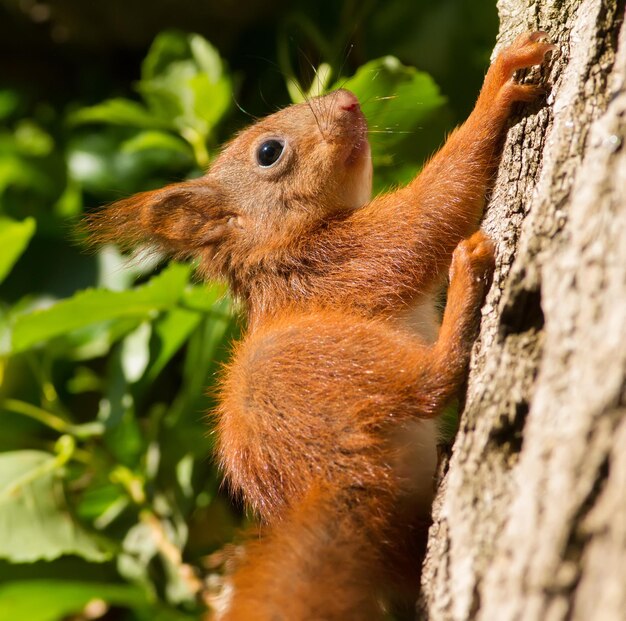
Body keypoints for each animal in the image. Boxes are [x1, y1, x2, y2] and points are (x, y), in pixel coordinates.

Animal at [86, 32, 552, 616]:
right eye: (269, 152)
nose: (349, 99)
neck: (280, 245)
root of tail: (329, 475)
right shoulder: (341, 260)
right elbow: (428, 213)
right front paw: (497, 88)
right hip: (321, 362)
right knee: (430, 382)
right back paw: (467, 279)